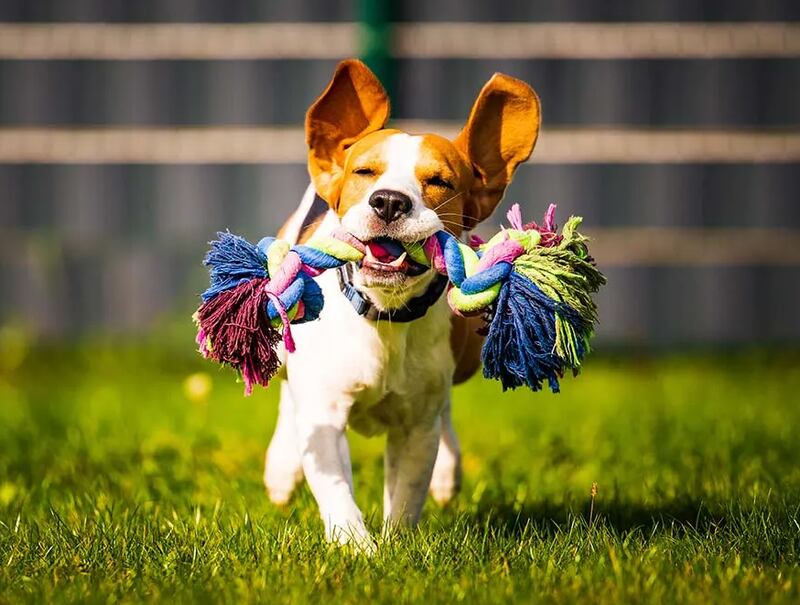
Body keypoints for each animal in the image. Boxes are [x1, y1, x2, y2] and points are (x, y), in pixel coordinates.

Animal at [266, 57, 540, 548]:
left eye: (439, 181)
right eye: (364, 173)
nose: (390, 201)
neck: (384, 314)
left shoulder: (416, 426)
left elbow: (408, 492)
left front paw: (396, 546)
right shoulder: (325, 411)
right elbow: (335, 487)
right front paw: (356, 547)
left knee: (445, 412)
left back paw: (448, 472)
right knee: (286, 393)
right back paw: (281, 469)